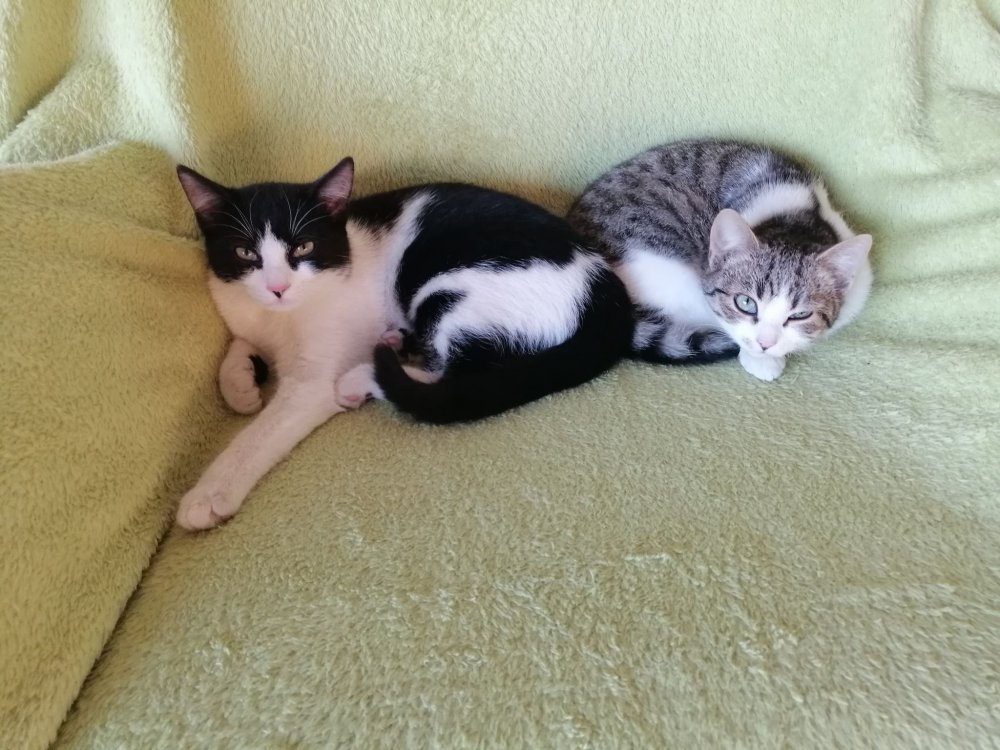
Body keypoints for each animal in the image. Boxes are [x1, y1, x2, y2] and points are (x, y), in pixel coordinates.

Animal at [175, 158, 633, 530]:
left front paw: (209, 493)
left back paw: (364, 377)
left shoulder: (311, 383)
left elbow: (262, 432)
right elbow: (239, 342)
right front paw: (240, 384)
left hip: (449, 287)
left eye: (303, 246)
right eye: (244, 252)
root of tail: (605, 285)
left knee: (461, 377)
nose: (277, 288)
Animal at [567, 139, 873, 381]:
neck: (799, 218)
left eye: (800, 315)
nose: (765, 344)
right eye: (746, 303)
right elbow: (724, 319)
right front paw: (760, 360)